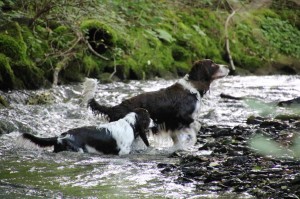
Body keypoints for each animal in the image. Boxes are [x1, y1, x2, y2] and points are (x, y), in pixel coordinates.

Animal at [18, 108, 154, 155]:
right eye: (148, 117)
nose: (155, 122)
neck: (130, 124)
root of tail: (61, 136)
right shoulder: (123, 151)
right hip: (78, 149)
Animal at [83, 58, 229, 148]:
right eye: (212, 64)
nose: (228, 66)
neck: (193, 86)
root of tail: (114, 108)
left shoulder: (172, 124)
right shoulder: (181, 117)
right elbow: (196, 125)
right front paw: (191, 141)